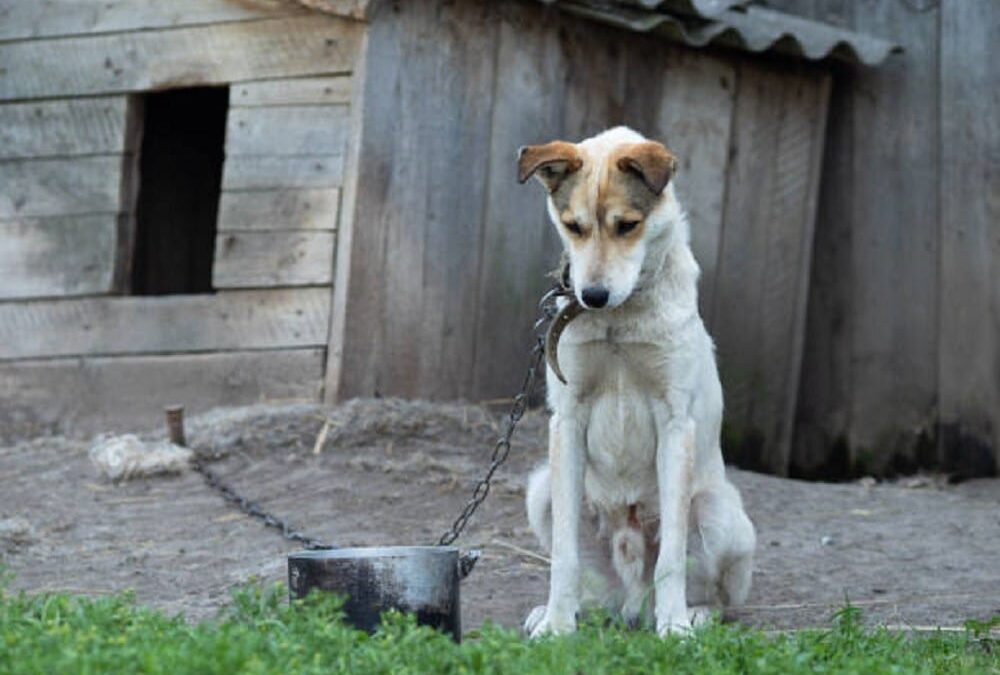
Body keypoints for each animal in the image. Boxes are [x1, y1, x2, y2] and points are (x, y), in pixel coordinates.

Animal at [520, 127, 752, 640]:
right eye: (573, 226)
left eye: (627, 225)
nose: (592, 296)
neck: (618, 321)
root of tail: (632, 603)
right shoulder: (567, 420)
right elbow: (563, 555)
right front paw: (556, 625)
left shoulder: (675, 422)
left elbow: (673, 558)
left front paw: (676, 628)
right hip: (542, 490)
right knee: (595, 589)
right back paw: (567, 611)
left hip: (719, 512)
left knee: (720, 598)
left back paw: (691, 614)